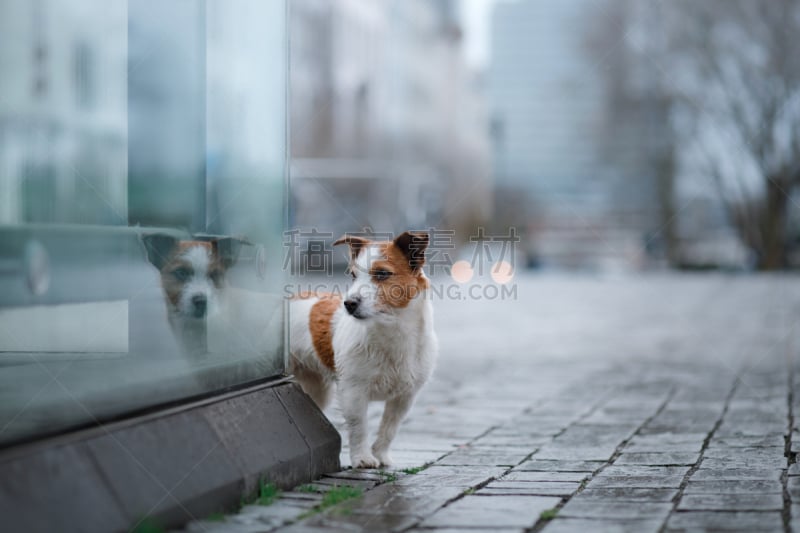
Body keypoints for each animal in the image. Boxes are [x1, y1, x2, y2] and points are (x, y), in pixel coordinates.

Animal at [290, 231, 438, 468]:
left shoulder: (405, 397)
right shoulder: (353, 392)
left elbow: (390, 428)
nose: (349, 304)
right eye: (352, 275)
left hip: (316, 389)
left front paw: (381, 455)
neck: (391, 331)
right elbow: (359, 427)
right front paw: (362, 458)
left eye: (382, 273)